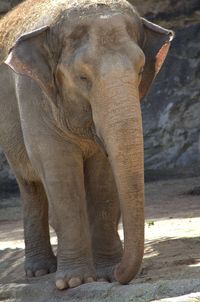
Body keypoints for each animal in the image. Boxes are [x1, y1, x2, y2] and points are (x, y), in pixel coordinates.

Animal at [0, 0, 173, 290]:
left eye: (140, 71)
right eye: (82, 77)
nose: (120, 274)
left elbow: (103, 176)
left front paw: (105, 274)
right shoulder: (34, 95)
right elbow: (59, 170)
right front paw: (74, 282)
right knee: (31, 187)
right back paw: (39, 271)